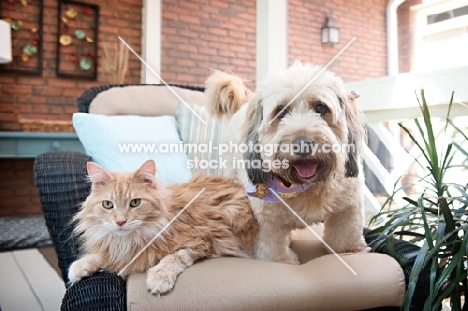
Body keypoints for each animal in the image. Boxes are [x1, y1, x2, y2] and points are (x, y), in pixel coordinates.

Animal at [68, 160, 260, 296]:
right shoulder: (117, 250)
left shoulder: (201, 241)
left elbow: (173, 258)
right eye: (108, 204)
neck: (130, 241)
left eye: (135, 202)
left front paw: (158, 278)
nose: (120, 222)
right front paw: (80, 266)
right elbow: (103, 256)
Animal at [207, 62, 368, 264]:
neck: (303, 186)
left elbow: (346, 234)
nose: (302, 144)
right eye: (281, 112)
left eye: (320, 108)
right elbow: (272, 249)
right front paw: (283, 259)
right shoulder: (267, 220)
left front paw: (350, 249)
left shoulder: (349, 206)